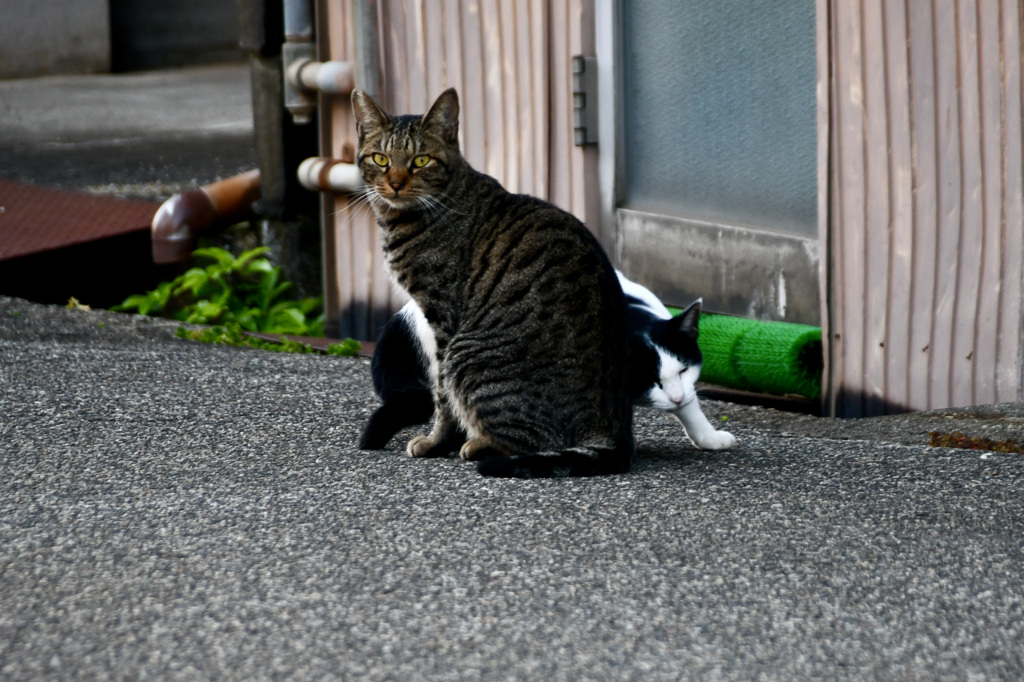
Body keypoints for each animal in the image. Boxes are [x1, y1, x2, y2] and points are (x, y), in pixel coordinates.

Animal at [352, 87, 630, 475]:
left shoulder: (443, 319)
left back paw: (479, 445)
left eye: (421, 161)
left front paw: (436, 442)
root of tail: (607, 428)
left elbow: (442, 397)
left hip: (467, 355)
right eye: (380, 158)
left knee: (532, 442)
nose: (394, 183)